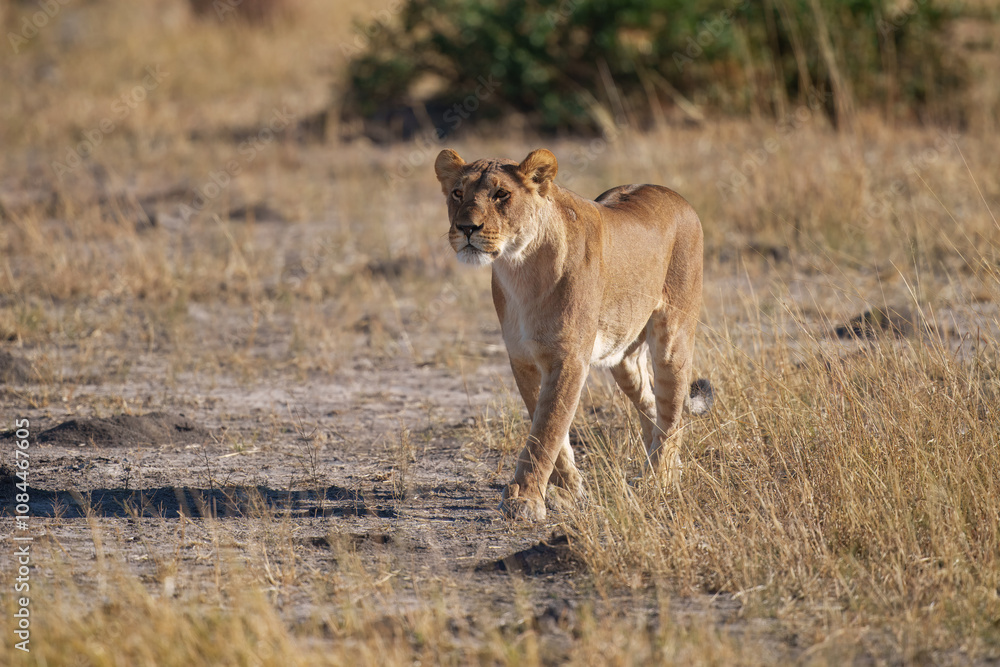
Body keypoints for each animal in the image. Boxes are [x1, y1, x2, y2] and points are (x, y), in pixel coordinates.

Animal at [434, 148, 712, 521]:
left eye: (501, 195)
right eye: (457, 193)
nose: (466, 227)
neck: (520, 268)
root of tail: (676, 196)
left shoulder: (569, 359)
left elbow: (547, 429)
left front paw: (525, 500)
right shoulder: (523, 359)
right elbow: (550, 428)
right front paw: (569, 492)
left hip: (673, 336)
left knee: (672, 410)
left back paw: (658, 481)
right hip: (623, 358)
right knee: (652, 405)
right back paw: (669, 470)